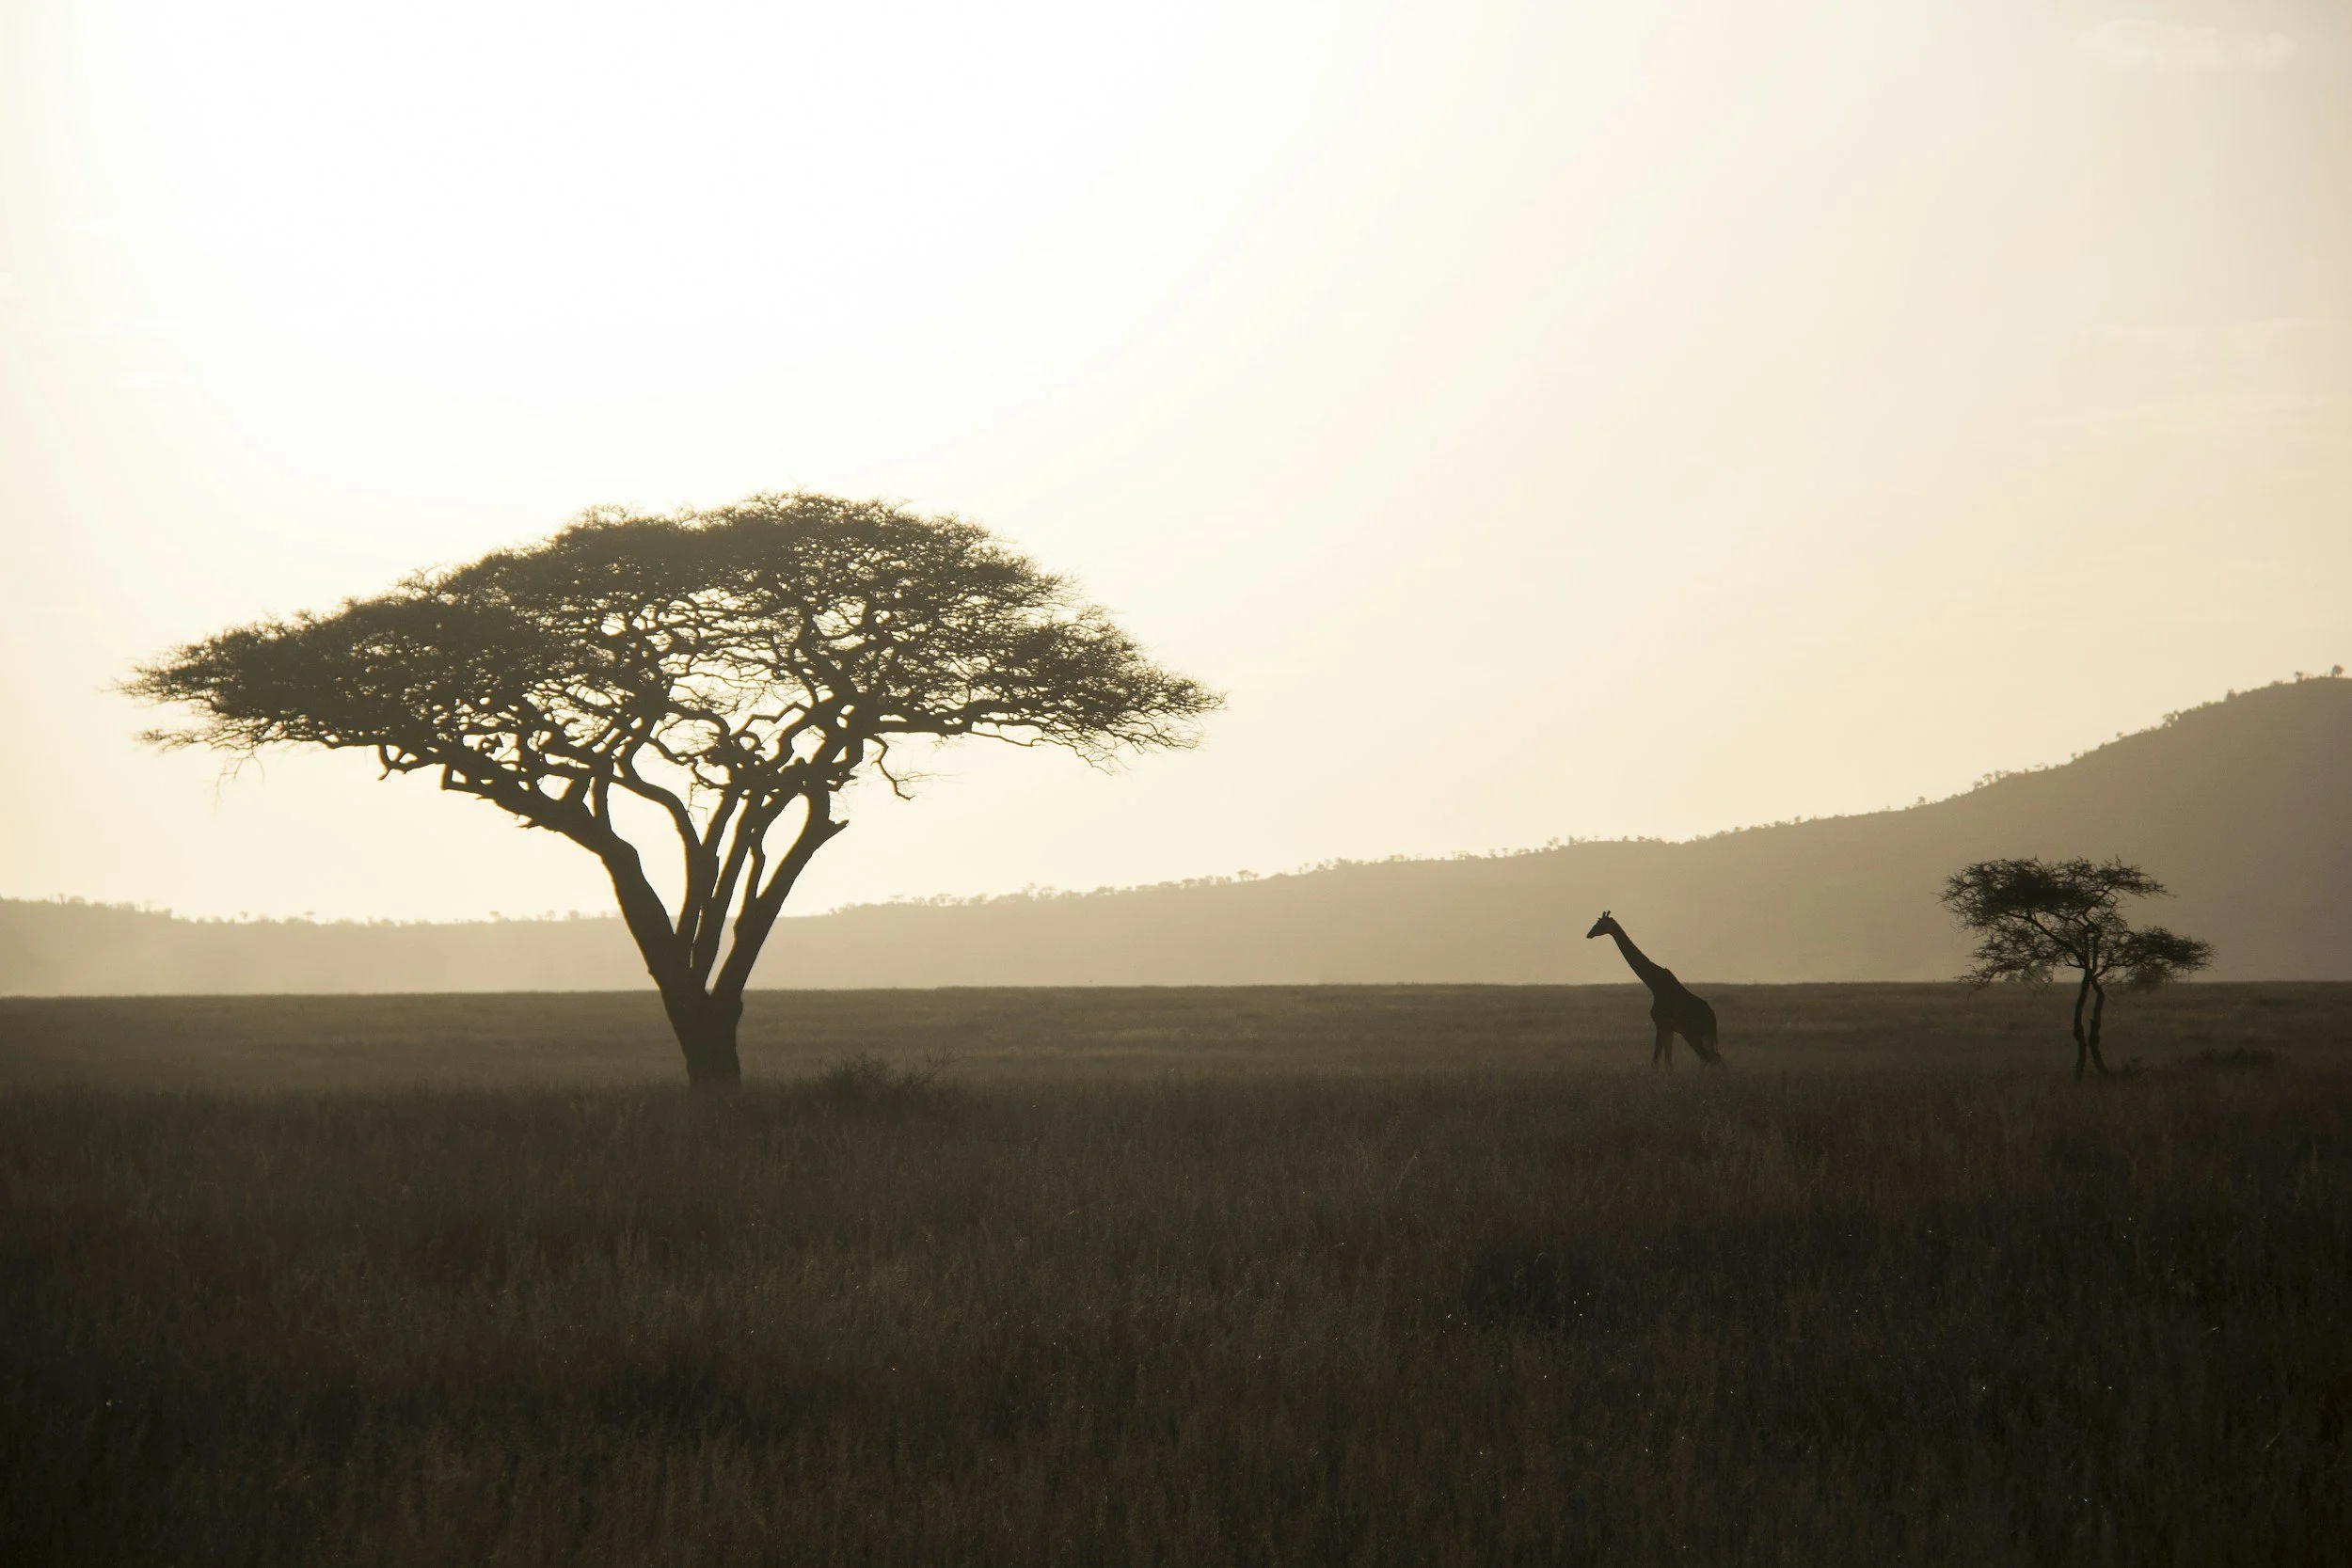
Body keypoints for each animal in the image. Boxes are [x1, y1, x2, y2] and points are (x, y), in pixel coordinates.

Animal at [1585, 911, 1722, 1067]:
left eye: (1600, 923)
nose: (1589, 934)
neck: (1654, 985)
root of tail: (1712, 1018)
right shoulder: (1669, 1028)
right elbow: (1667, 1062)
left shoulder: (1661, 1024)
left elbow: (1656, 1061)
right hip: (1701, 1035)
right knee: (1714, 1058)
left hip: (1692, 1033)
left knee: (1708, 1058)